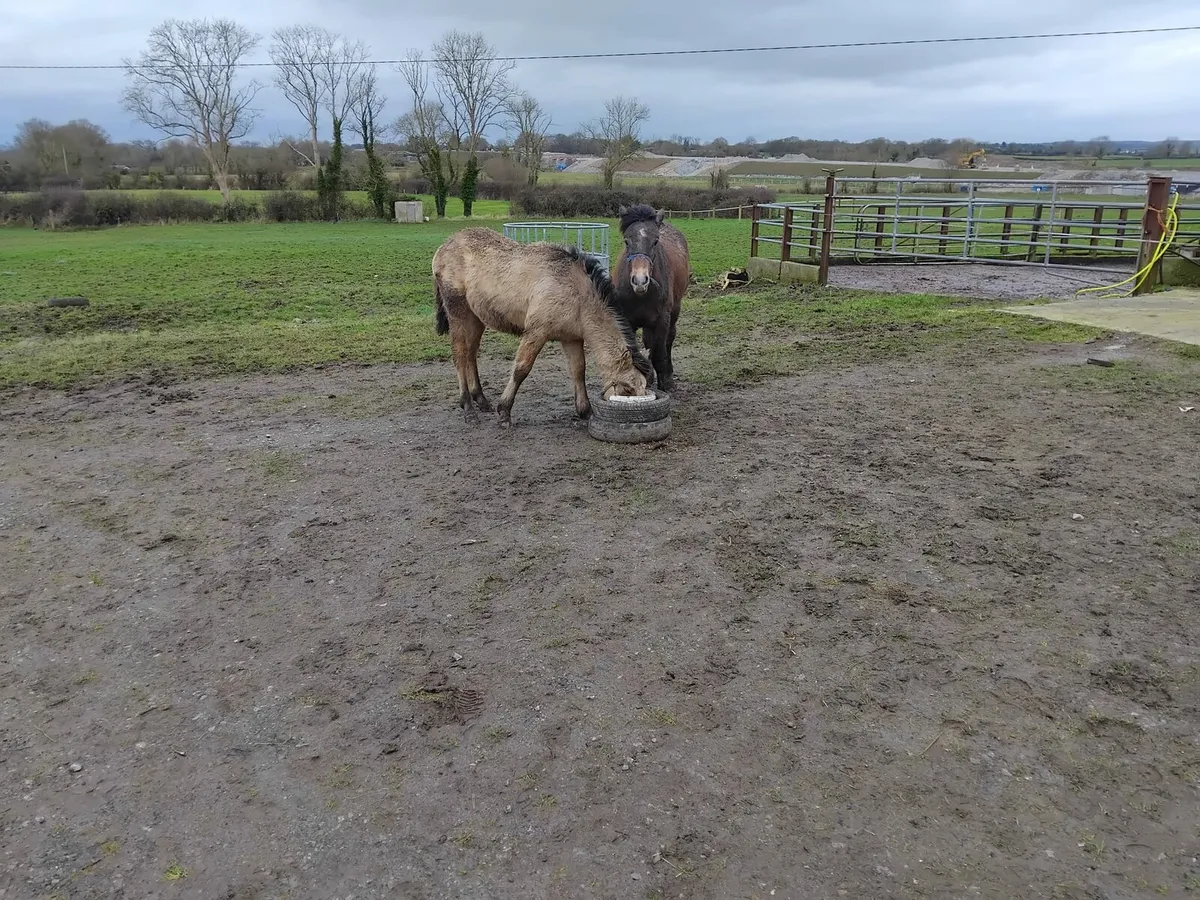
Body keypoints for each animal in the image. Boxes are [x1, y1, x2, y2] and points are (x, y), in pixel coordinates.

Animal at [432, 228, 654, 427]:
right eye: (628, 390)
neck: (576, 292)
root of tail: (445, 246)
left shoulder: (572, 338)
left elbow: (578, 370)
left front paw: (585, 411)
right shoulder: (536, 332)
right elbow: (521, 369)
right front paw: (504, 412)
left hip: (476, 318)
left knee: (471, 355)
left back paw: (481, 400)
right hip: (458, 313)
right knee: (460, 356)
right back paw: (468, 409)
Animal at [612, 204, 691, 392]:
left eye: (655, 241)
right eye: (626, 241)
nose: (640, 280)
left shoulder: (662, 320)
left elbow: (659, 353)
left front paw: (665, 381)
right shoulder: (626, 320)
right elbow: (635, 353)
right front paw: (644, 378)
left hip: (674, 311)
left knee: (669, 339)